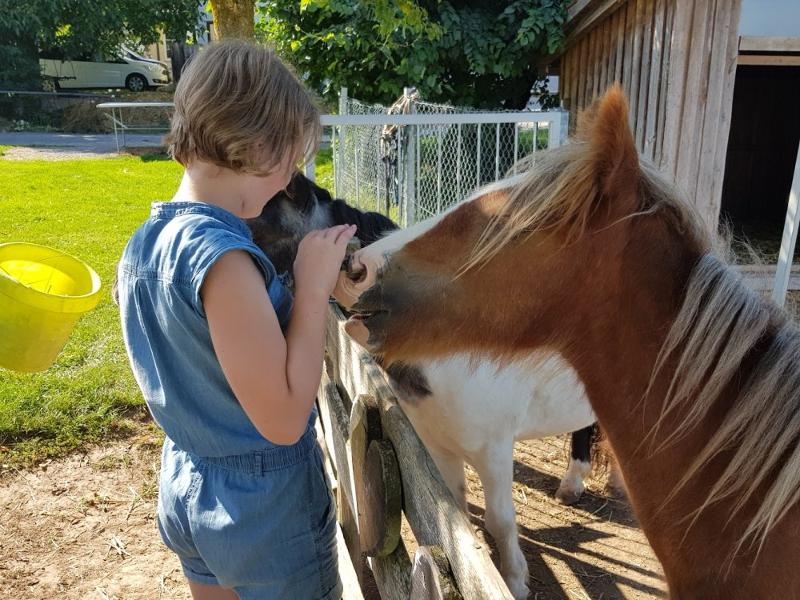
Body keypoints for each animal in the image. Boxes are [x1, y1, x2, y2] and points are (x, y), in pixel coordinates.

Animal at [342, 85, 800, 600]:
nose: (357, 266)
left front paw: (515, 580)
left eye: (506, 224)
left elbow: (501, 522)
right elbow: (455, 512)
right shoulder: (437, 450)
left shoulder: (494, 451)